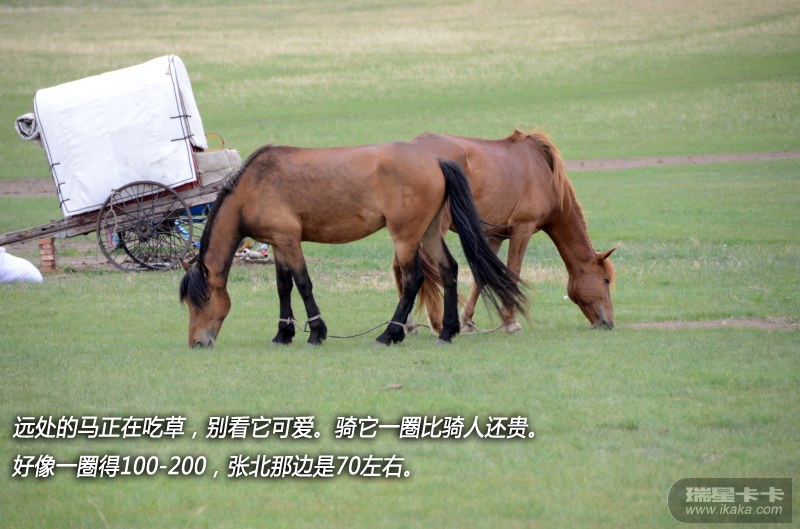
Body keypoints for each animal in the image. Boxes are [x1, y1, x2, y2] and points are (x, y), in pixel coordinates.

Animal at [179, 141, 527, 348]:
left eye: (202, 300)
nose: (197, 342)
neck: (254, 185)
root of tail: (435, 161)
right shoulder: (277, 243)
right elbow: (283, 287)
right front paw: (283, 333)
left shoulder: (289, 240)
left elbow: (303, 284)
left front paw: (316, 332)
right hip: (428, 232)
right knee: (449, 270)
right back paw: (447, 331)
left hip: (405, 237)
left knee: (413, 279)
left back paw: (390, 334)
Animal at [399, 129, 615, 333]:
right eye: (605, 280)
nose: (609, 323)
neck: (545, 175)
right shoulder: (522, 229)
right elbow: (513, 271)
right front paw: (511, 322)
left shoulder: (495, 236)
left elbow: (482, 275)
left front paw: (467, 321)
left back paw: (407, 324)